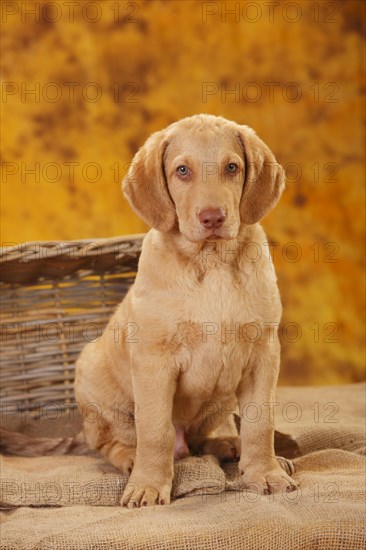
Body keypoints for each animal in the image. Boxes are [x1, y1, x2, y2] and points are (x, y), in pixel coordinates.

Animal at [73, 115, 298, 508]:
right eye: (182, 170)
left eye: (232, 167)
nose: (213, 218)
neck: (212, 262)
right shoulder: (153, 361)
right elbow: (155, 430)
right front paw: (148, 484)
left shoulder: (264, 354)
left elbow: (260, 424)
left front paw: (265, 472)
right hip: (94, 379)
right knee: (111, 441)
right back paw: (130, 459)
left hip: (221, 400)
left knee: (207, 436)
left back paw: (228, 444)